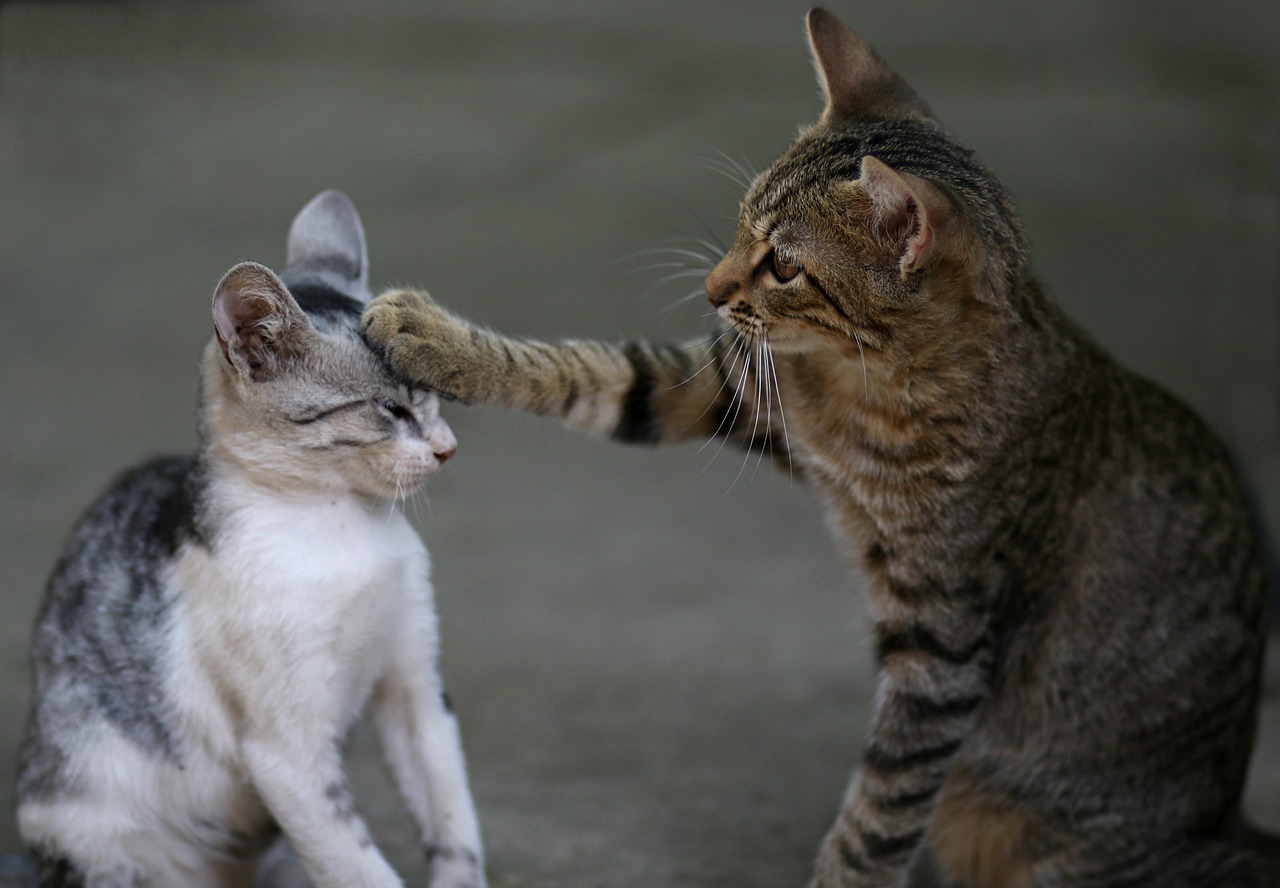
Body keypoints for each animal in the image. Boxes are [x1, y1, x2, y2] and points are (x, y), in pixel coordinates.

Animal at [15, 189, 483, 888]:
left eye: (432, 397)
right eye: (392, 409)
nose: (448, 447)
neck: (344, 527)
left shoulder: (419, 690)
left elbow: (454, 820)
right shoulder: (286, 751)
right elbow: (356, 863)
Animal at [358, 8, 1280, 888]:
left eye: (785, 265)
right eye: (740, 226)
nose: (712, 289)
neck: (864, 387)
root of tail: (1225, 819)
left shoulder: (943, 646)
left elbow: (879, 817)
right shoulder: (735, 390)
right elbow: (588, 371)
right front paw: (439, 341)